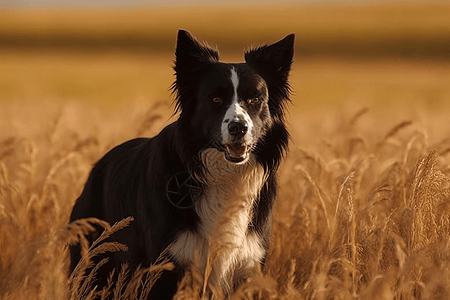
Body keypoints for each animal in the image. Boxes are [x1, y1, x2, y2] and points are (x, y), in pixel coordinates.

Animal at [69, 29, 296, 298]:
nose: (238, 127)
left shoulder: (248, 265)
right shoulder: (167, 267)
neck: (224, 175)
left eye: (255, 99)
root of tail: (98, 166)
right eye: (216, 99)